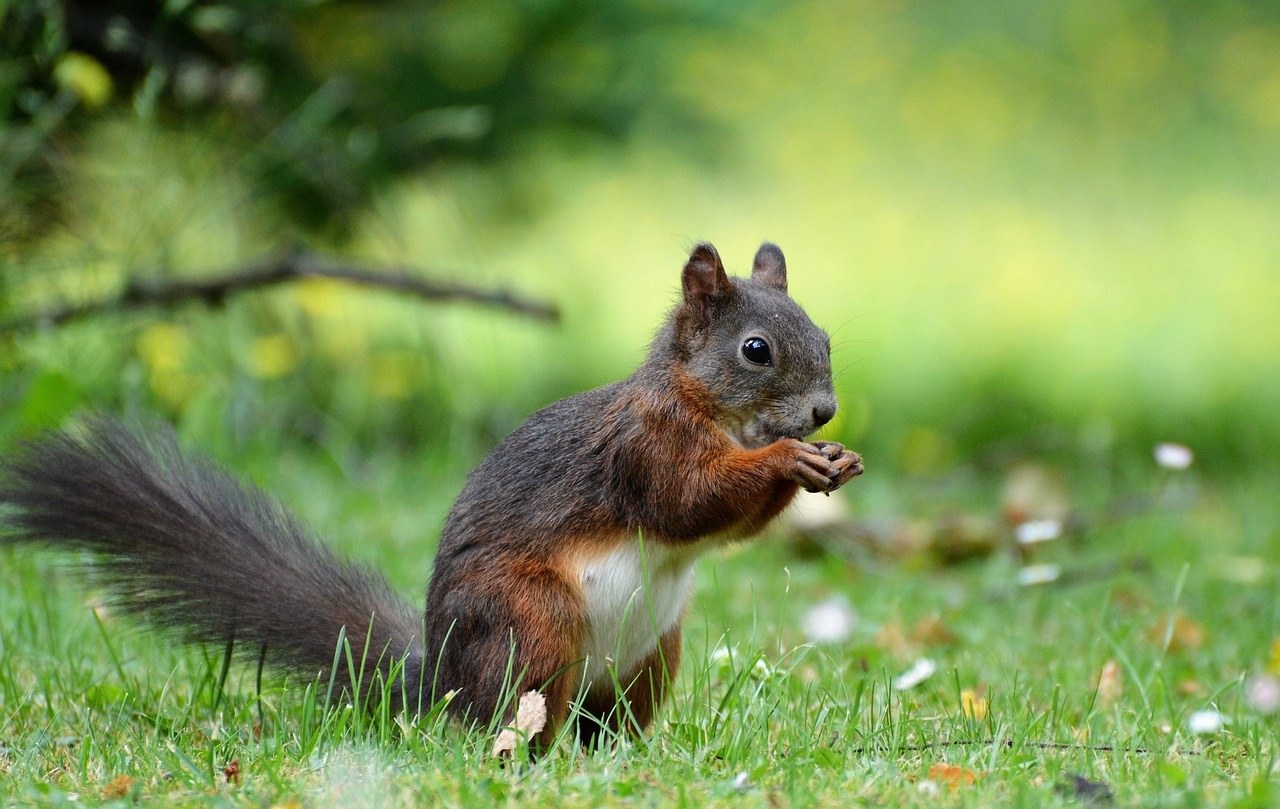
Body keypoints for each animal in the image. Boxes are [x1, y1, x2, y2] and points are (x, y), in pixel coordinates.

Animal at [0, 241, 863, 748]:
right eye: (756, 350)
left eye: (824, 337)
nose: (824, 411)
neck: (703, 405)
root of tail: (441, 685)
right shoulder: (644, 449)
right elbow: (689, 501)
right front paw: (790, 459)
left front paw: (833, 459)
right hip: (530, 621)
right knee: (518, 715)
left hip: (653, 654)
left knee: (603, 722)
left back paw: (622, 759)